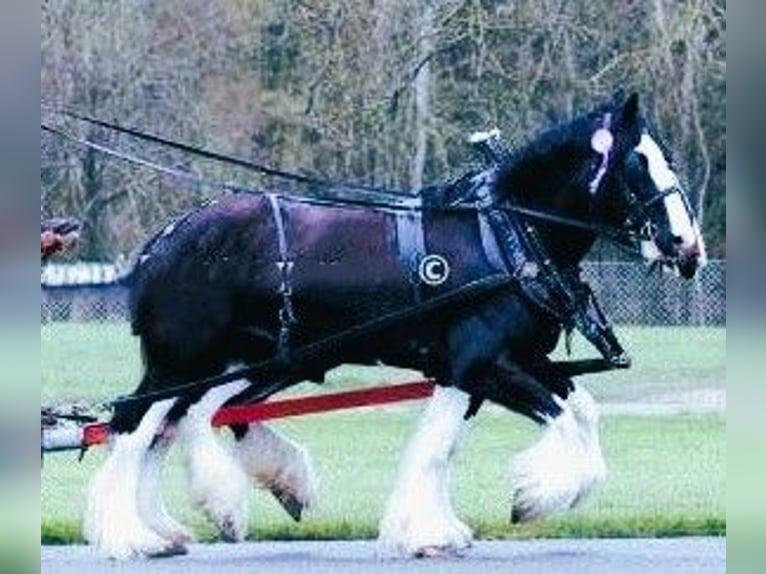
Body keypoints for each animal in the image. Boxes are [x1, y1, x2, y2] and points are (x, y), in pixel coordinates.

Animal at [85, 93, 708, 560]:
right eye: (637, 164)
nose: (687, 246)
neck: (506, 235)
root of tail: (164, 240)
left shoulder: (488, 367)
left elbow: (528, 425)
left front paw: (432, 530)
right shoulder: (487, 364)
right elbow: (553, 425)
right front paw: (533, 497)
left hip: (244, 362)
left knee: (185, 422)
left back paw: (194, 516)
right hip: (181, 361)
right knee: (136, 427)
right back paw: (132, 537)